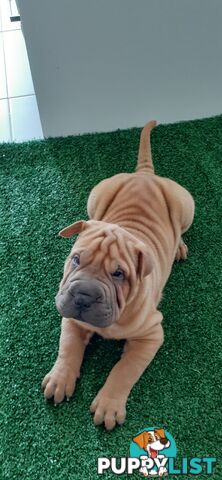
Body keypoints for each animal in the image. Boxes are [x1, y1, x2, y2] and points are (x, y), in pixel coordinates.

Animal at [41, 121, 194, 432]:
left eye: (119, 274)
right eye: (76, 259)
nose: (83, 295)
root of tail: (144, 175)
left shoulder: (151, 335)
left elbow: (124, 369)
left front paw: (109, 405)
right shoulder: (70, 317)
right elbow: (67, 346)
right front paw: (60, 378)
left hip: (186, 204)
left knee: (182, 228)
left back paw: (180, 246)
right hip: (97, 194)